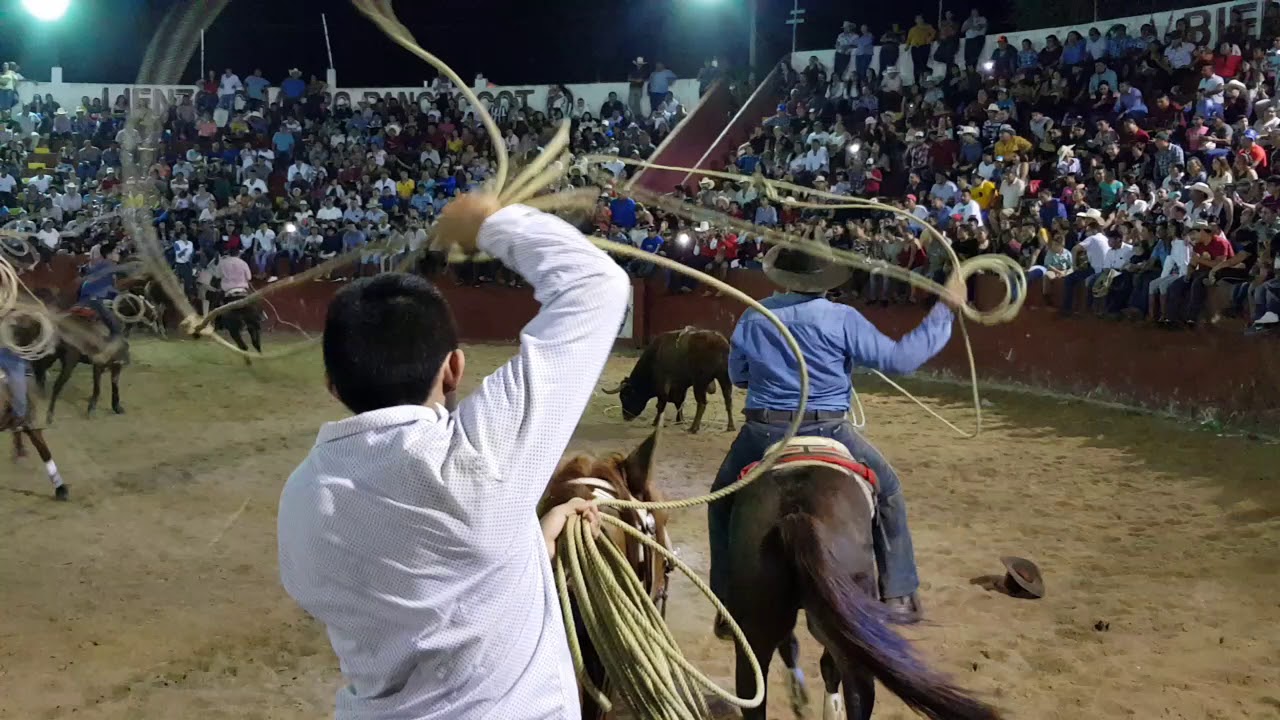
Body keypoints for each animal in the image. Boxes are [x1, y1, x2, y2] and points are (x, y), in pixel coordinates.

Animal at [599, 325, 732, 430]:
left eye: (625, 396)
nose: (626, 417)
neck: (654, 357)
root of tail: (721, 342)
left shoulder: (663, 384)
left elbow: (661, 404)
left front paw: (656, 423)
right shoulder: (679, 386)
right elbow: (679, 403)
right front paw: (680, 420)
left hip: (700, 382)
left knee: (702, 403)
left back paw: (693, 428)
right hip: (724, 378)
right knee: (728, 400)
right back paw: (730, 426)